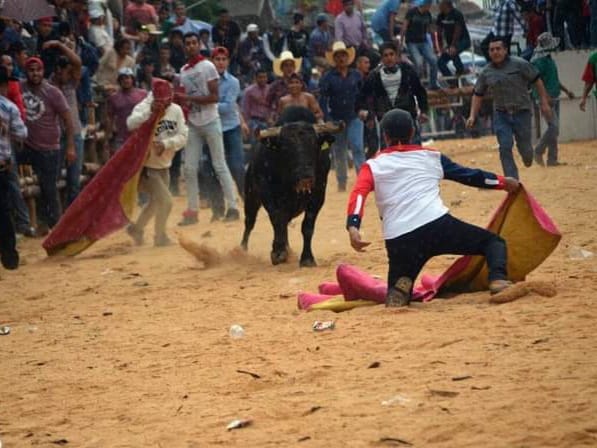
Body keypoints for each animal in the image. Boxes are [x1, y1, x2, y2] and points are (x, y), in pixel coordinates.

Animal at [240, 106, 338, 266]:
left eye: (314, 145)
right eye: (286, 147)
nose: (305, 176)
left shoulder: (318, 196)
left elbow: (307, 226)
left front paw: (307, 258)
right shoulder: (268, 195)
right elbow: (277, 220)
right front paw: (278, 253)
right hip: (251, 196)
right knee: (249, 222)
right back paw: (242, 250)